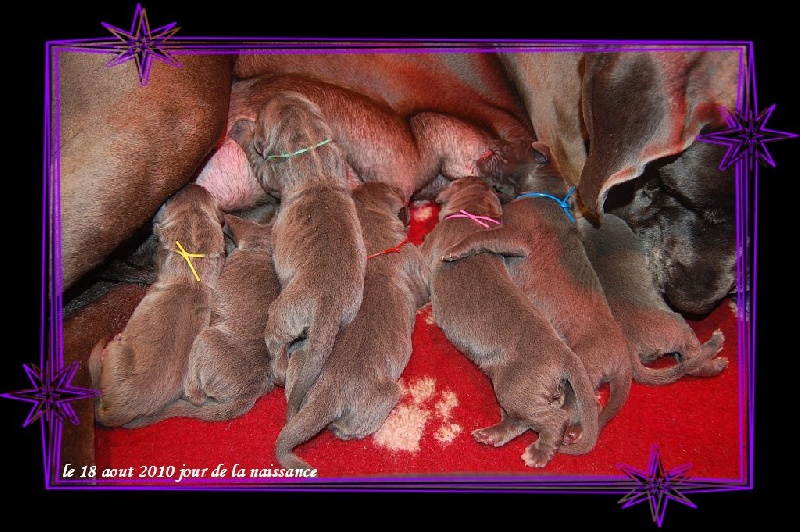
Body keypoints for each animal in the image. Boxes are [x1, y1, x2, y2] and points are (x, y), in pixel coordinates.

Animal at [89, 183, 227, 428]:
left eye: (170, 200)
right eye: (209, 197)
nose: (191, 183)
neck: (189, 279)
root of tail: (117, 412)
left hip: (117, 354)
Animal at [233, 89, 368, 418]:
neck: (312, 151)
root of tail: (329, 306)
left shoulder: (270, 174)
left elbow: (258, 160)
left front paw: (242, 129)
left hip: (282, 314)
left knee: (277, 347)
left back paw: (279, 369)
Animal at [422, 177, 596, 468]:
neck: (473, 214)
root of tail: (566, 355)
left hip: (513, 387)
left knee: (553, 419)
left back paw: (538, 454)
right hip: (524, 390)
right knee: (522, 421)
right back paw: (491, 435)